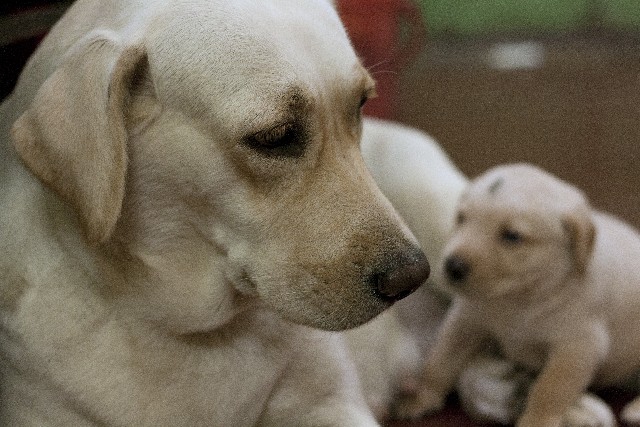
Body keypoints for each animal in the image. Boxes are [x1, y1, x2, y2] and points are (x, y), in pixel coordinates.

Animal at [398, 164, 640, 427]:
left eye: (512, 236)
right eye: (462, 218)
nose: (452, 266)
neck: (520, 298)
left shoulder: (577, 347)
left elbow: (549, 390)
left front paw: (536, 420)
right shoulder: (465, 321)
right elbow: (440, 361)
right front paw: (421, 397)